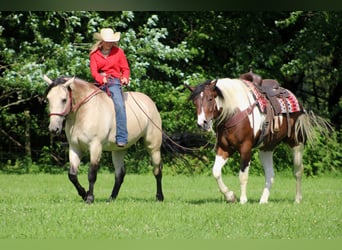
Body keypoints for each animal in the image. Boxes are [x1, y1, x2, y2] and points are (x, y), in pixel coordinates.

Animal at [44, 74, 164, 203]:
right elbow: (72, 175)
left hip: (153, 147)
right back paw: (111, 198)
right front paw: (84, 194)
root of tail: (149, 102)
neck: (84, 112)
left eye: (64, 99)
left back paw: (159, 197)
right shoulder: (75, 148)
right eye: (48, 99)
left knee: (157, 171)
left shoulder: (95, 147)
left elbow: (92, 174)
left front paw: (90, 198)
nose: (53, 129)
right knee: (119, 174)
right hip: (118, 150)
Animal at [187, 73, 332, 203]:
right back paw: (263, 200)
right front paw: (230, 197)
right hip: (267, 148)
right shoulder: (224, 148)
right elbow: (216, 172)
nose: (202, 123)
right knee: (270, 174)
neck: (234, 111)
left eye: (210, 98)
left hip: (296, 143)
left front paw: (243, 200)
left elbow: (243, 175)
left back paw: (297, 199)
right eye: (195, 102)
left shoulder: (246, 148)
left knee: (298, 171)